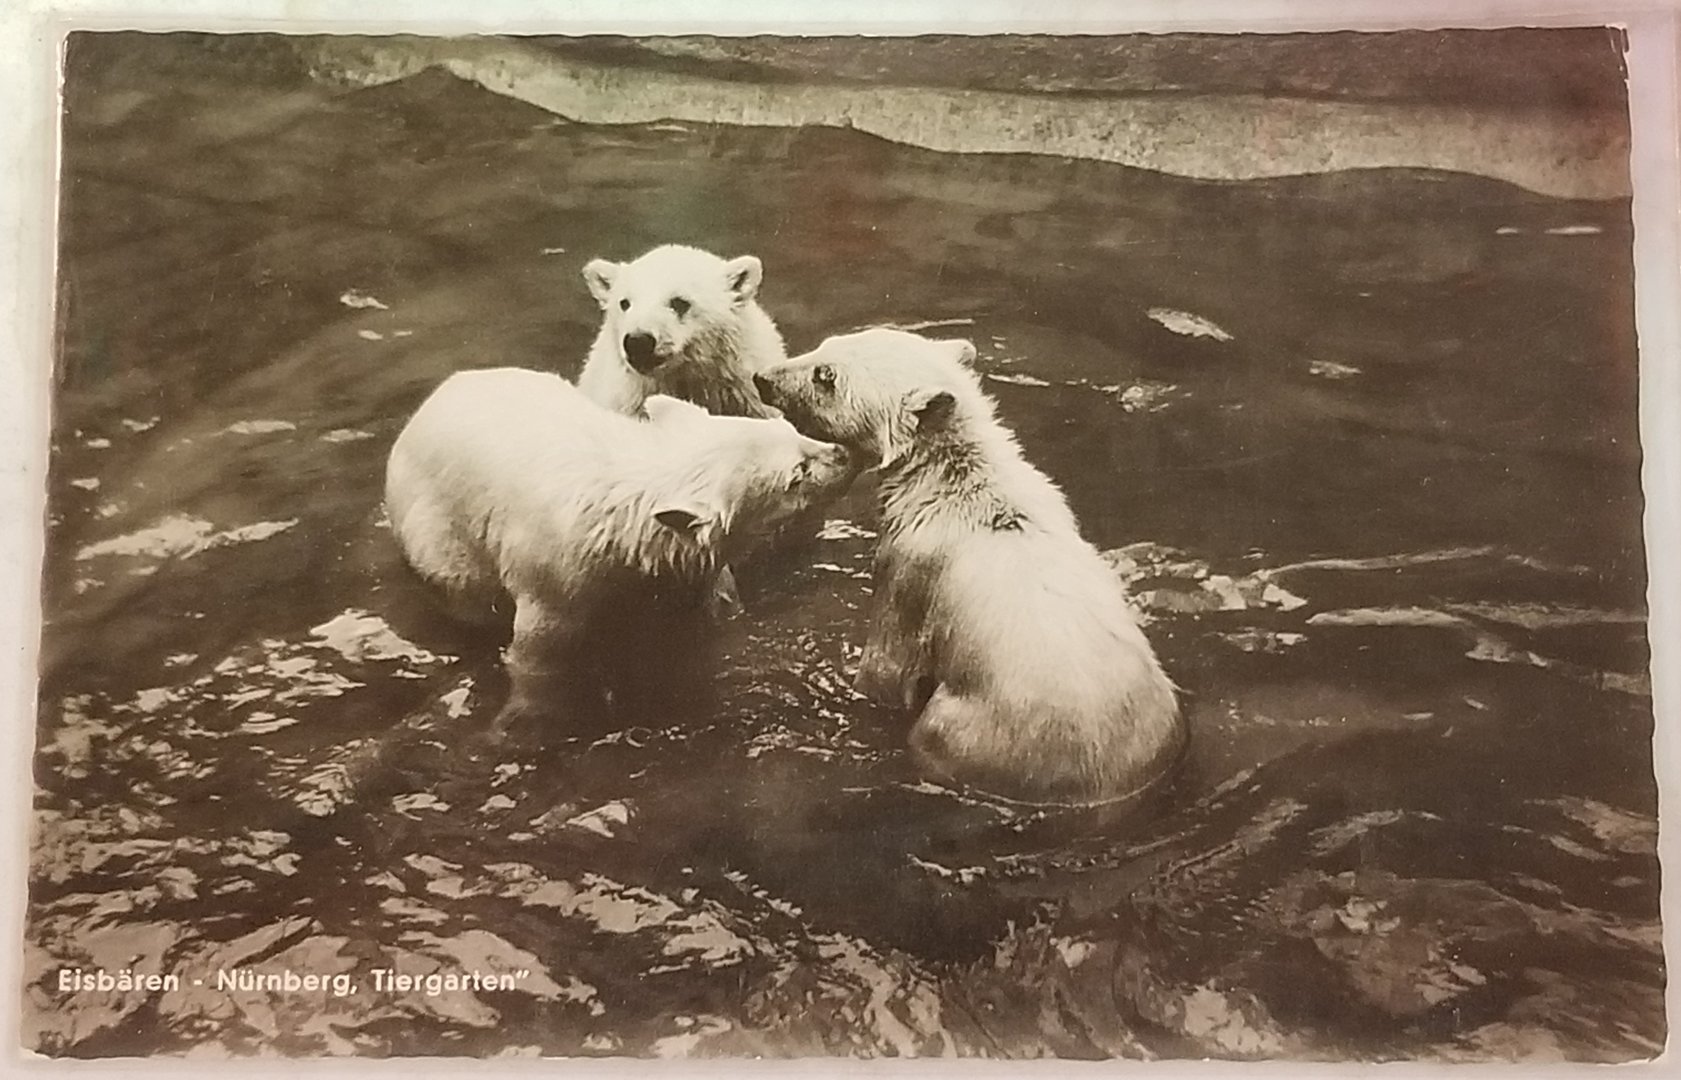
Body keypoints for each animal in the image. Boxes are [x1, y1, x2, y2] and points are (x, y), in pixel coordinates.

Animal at [385, 367, 855, 722]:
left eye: (789, 429)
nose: (844, 454)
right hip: (437, 533)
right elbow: (537, 656)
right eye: (796, 474)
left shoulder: (686, 568)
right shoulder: (554, 578)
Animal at [754, 327, 1185, 805]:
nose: (763, 378)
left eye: (825, 375)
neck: (954, 481)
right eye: (825, 345)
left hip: (975, 730)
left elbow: (888, 665)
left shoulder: (911, 568)